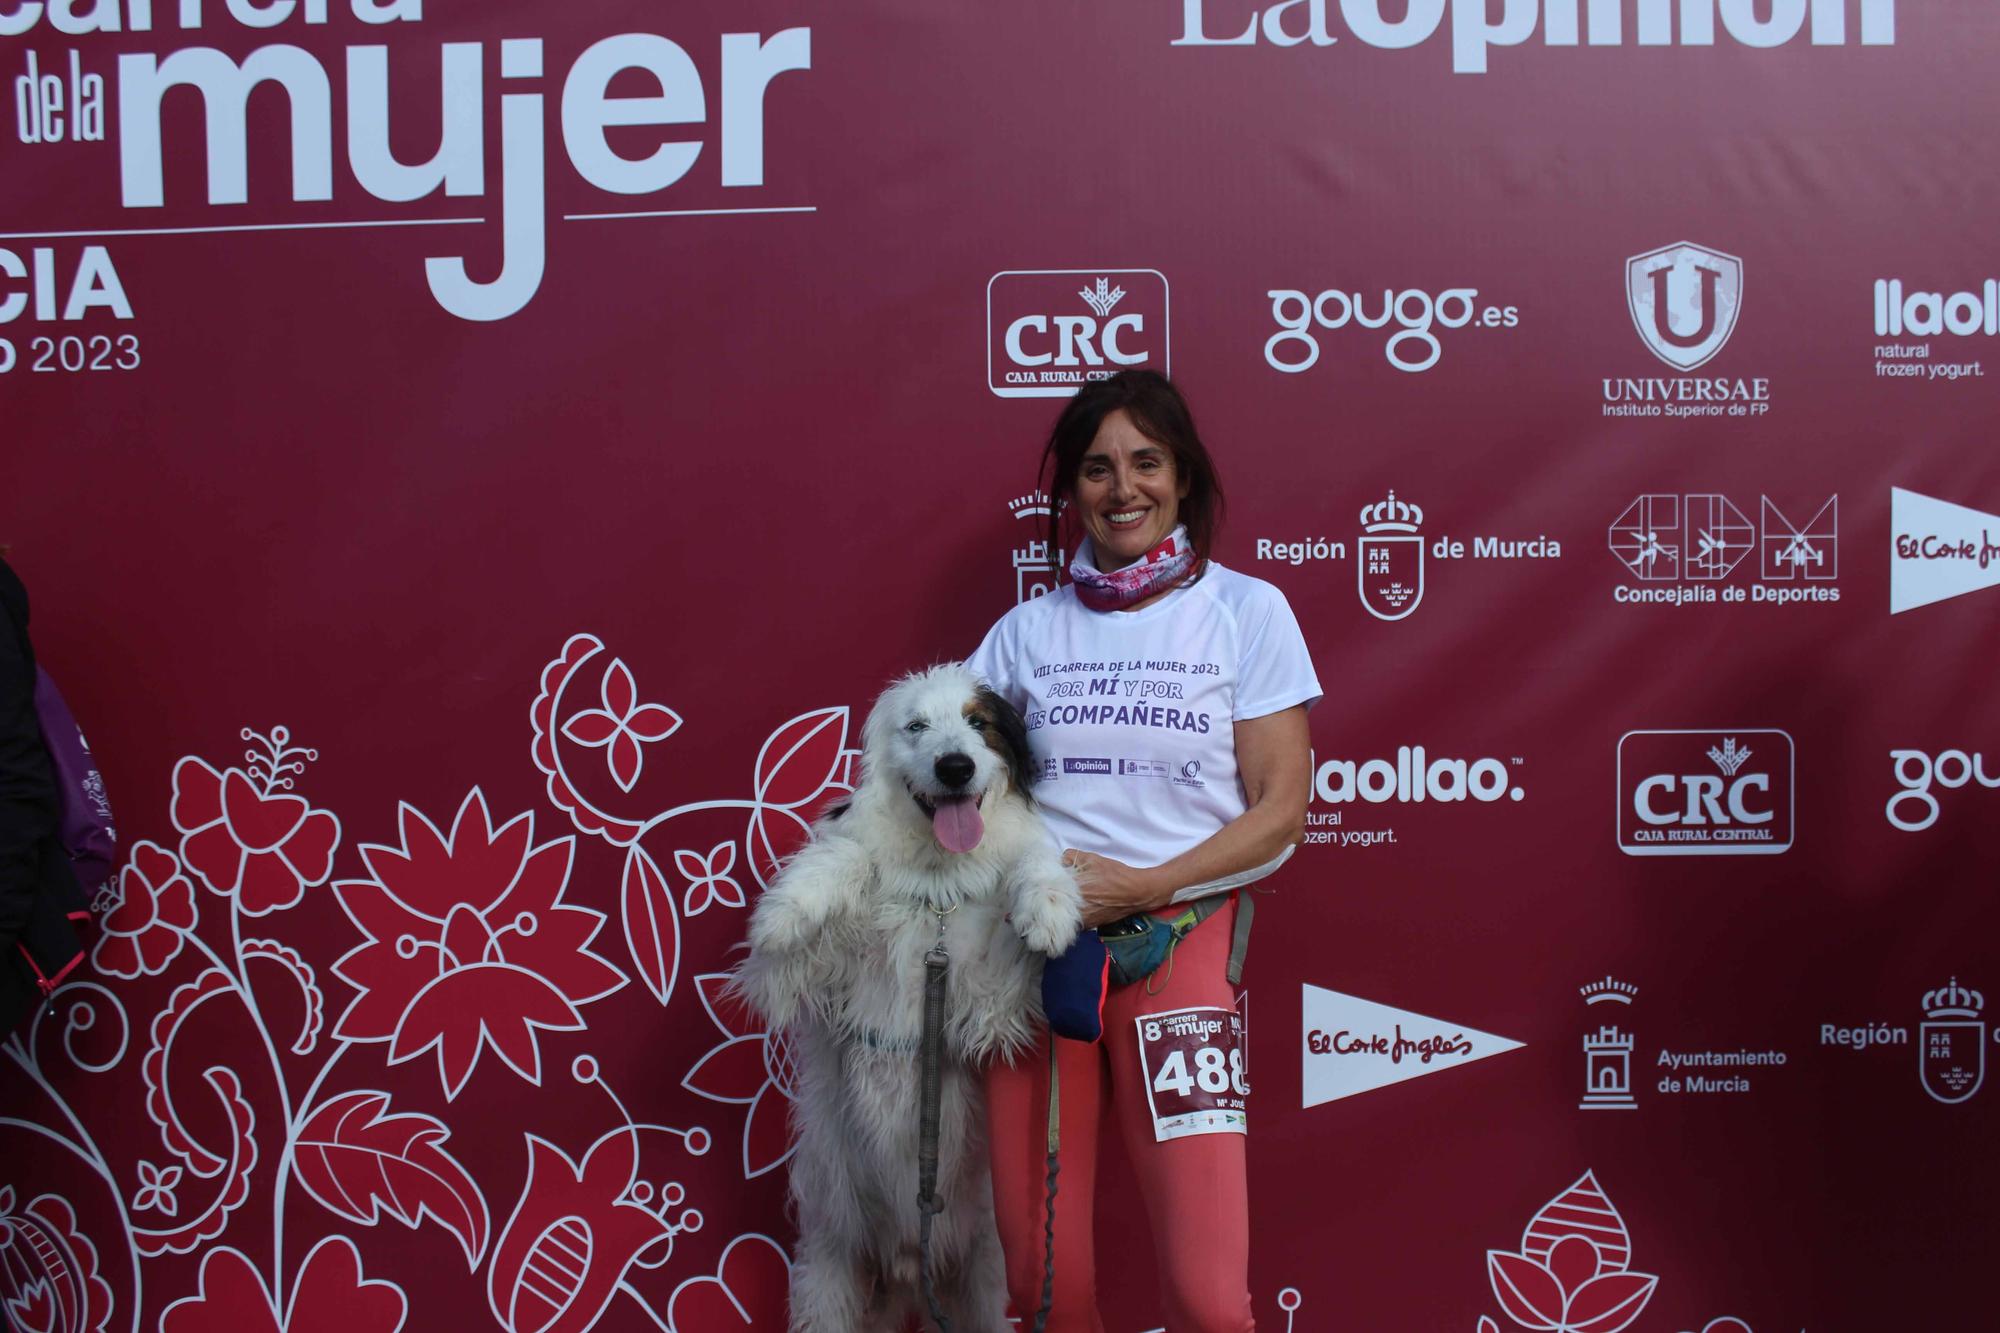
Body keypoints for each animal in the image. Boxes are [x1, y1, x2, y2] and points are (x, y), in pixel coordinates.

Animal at [732, 664, 1080, 1328]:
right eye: (916, 726)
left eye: (977, 722)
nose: (955, 767)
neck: (936, 886)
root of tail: (905, 1269)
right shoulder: (798, 973)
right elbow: (845, 857)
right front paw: (790, 908)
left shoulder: (991, 1002)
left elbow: (1031, 863)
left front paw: (1049, 909)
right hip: (831, 1268)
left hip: (981, 1280)